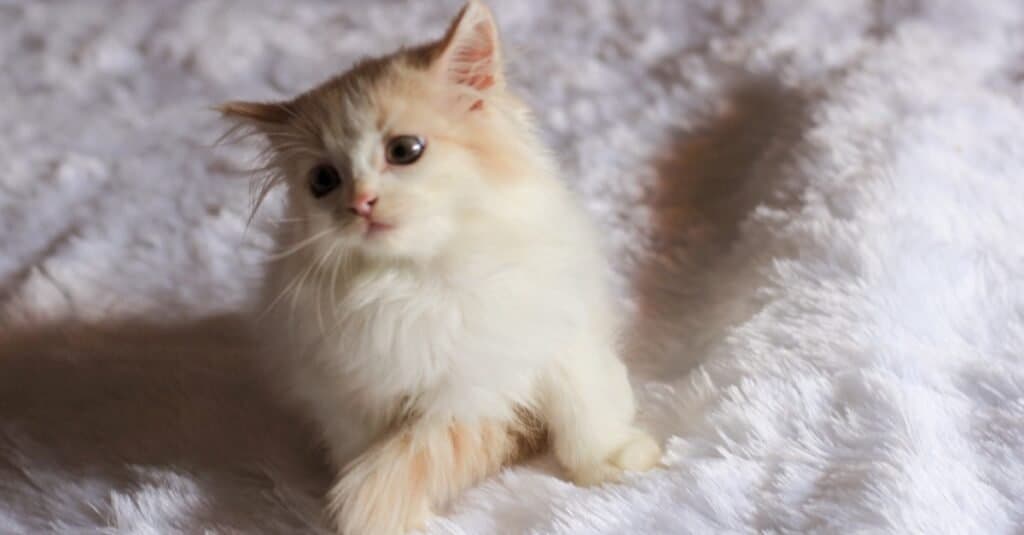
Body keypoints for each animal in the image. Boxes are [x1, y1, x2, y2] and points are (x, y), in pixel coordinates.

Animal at [220, 2, 659, 528]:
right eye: (324, 180)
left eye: (404, 151)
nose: (361, 203)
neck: (423, 282)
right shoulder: (355, 392)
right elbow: (383, 455)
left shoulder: (556, 333)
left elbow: (583, 406)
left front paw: (613, 461)